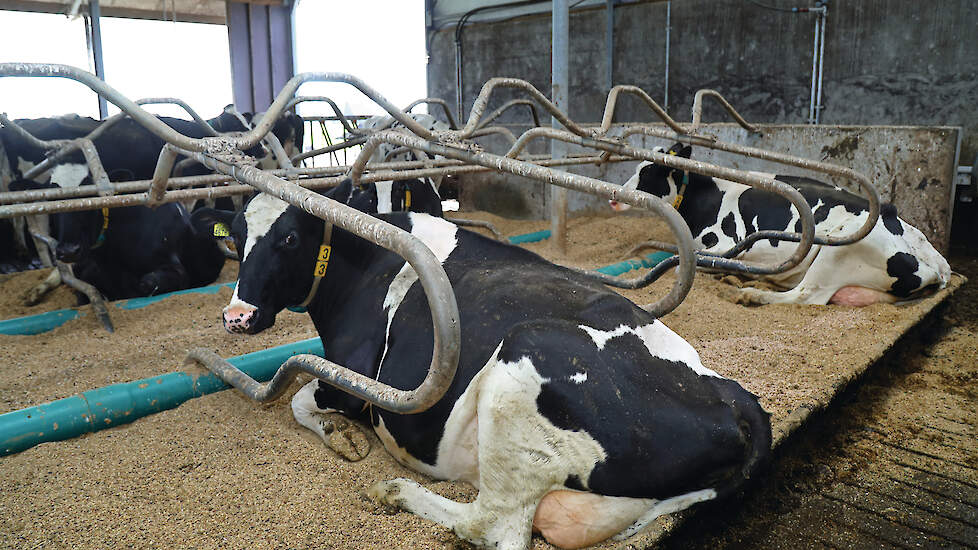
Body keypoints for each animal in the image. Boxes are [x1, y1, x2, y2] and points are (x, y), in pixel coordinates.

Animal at [202, 181, 772, 550]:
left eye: (289, 237)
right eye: (234, 238)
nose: (236, 317)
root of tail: (736, 399)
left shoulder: (358, 379)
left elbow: (300, 396)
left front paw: (341, 437)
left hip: (524, 357)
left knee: (489, 525)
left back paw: (397, 492)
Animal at [608, 144, 948, 308]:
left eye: (649, 171)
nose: (614, 199)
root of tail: (934, 262)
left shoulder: (725, 243)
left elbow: (684, 265)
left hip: (837, 250)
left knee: (806, 296)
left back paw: (751, 294)